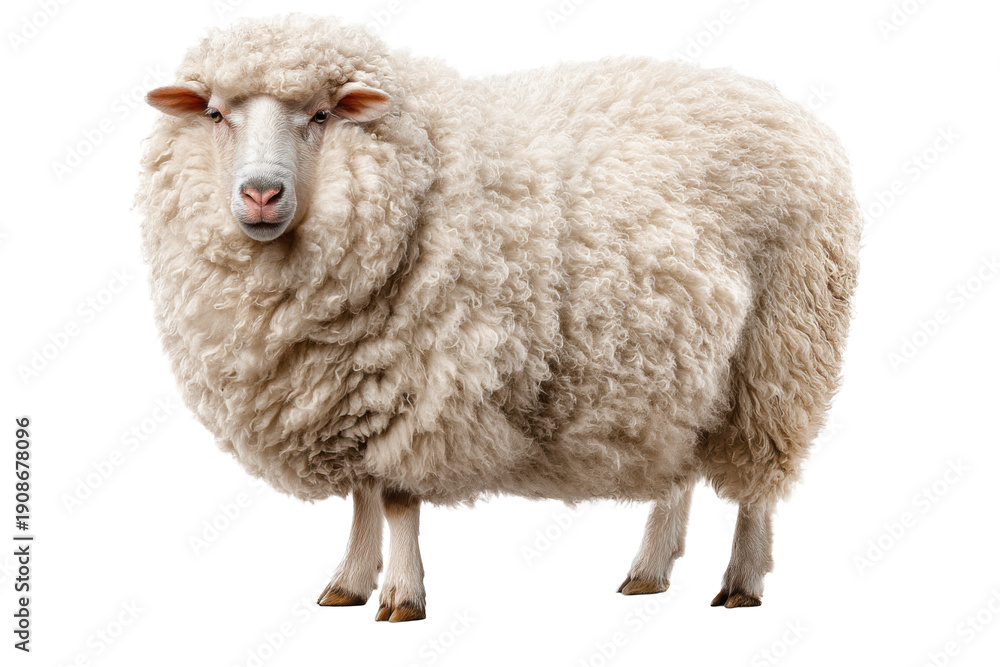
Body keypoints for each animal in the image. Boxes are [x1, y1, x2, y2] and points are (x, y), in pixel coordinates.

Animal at [138, 14, 862, 622]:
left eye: (321, 114)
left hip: (781, 347)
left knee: (760, 478)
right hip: (682, 366)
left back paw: (742, 582)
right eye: (214, 114)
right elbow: (363, 496)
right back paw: (649, 571)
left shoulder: (422, 389)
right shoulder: (355, 395)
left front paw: (402, 598)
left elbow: (396, 500)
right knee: (678, 467)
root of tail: (786, 107)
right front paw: (348, 582)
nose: (261, 193)